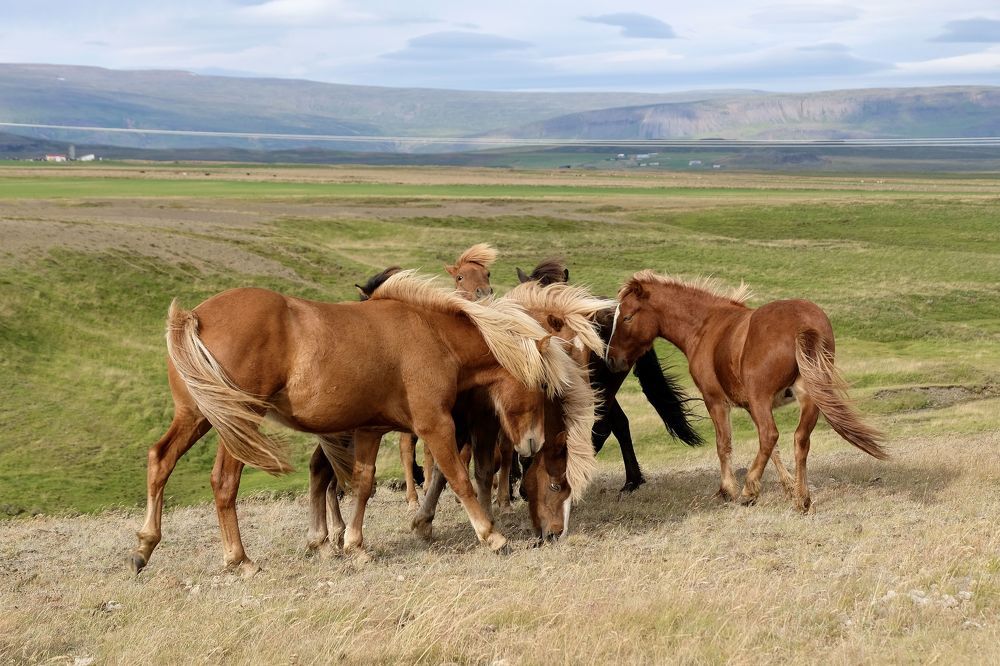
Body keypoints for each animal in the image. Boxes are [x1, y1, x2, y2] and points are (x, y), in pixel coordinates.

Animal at [128, 270, 595, 576]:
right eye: (541, 385)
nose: (532, 444)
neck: (433, 336)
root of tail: (194, 316)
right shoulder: (435, 426)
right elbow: (458, 479)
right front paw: (492, 536)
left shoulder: (370, 430)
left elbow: (363, 484)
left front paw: (354, 546)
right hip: (236, 423)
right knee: (224, 483)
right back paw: (239, 560)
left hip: (196, 416)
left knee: (160, 460)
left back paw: (144, 547)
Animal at [605, 270, 887, 511]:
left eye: (627, 317)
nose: (611, 360)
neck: (705, 326)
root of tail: (802, 325)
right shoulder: (751, 406)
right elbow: (774, 451)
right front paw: (788, 487)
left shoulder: (716, 401)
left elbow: (724, 443)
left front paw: (728, 489)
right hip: (808, 398)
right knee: (799, 439)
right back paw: (801, 499)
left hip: (763, 397)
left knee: (769, 435)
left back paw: (749, 491)